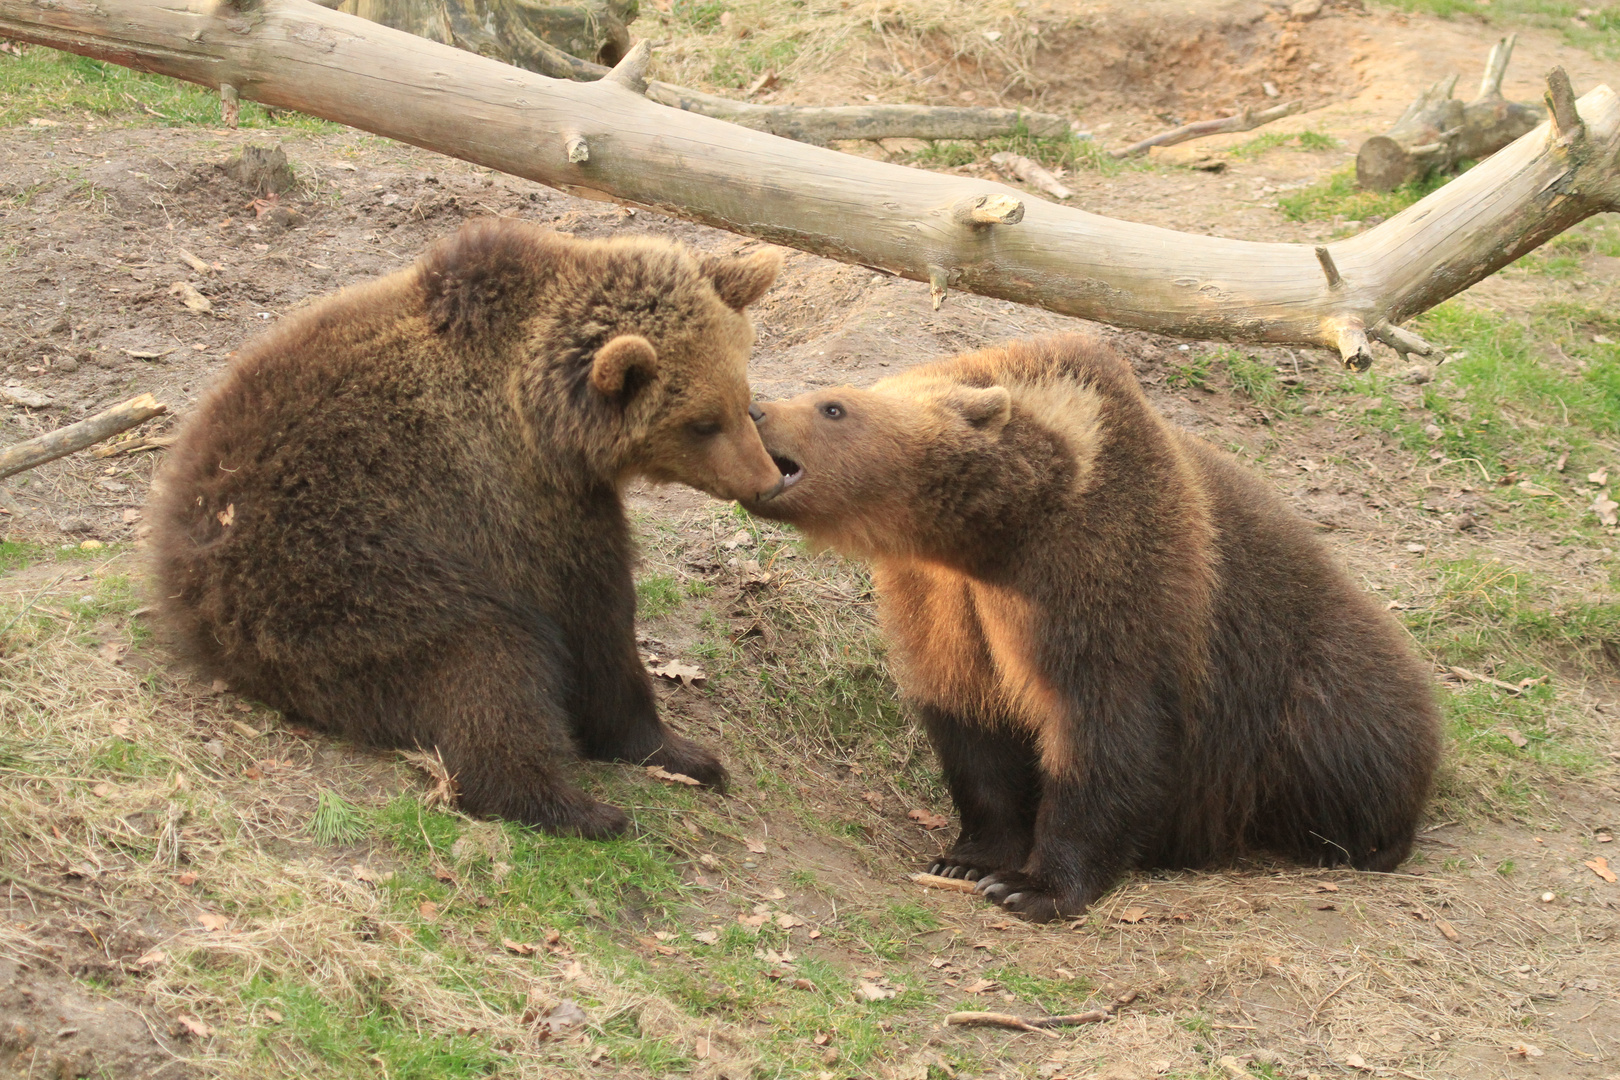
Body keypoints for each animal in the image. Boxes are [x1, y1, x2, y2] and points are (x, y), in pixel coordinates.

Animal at [142, 220, 787, 841]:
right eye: (701, 423)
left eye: (744, 400)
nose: (768, 482)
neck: (545, 423)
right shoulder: (516, 506)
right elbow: (595, 625)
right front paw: (678, 749)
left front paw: (692, 756)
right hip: (343, 585)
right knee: (485, 662)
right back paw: (578, 809)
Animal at [745, 335, 1445, 919]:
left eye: (833, 406)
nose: (754, 407)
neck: (998, 538)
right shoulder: (942, 603)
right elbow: (973, 726)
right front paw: (968, 858)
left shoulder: (1106, 572)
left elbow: (1105, 732)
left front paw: (1033, 886)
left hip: (1311, 676)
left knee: (1343, 735)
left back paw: (1361, 843)